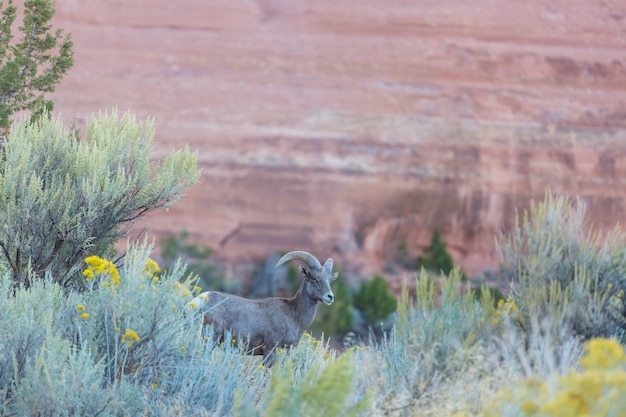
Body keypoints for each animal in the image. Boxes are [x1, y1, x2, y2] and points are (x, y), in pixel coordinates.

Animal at [188, 250, 338, 364]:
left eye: (330, 280)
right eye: (314, 278)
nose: (330, 297)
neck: (294, 316)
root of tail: (199, 300)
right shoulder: (270, 351)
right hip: (209, 338)